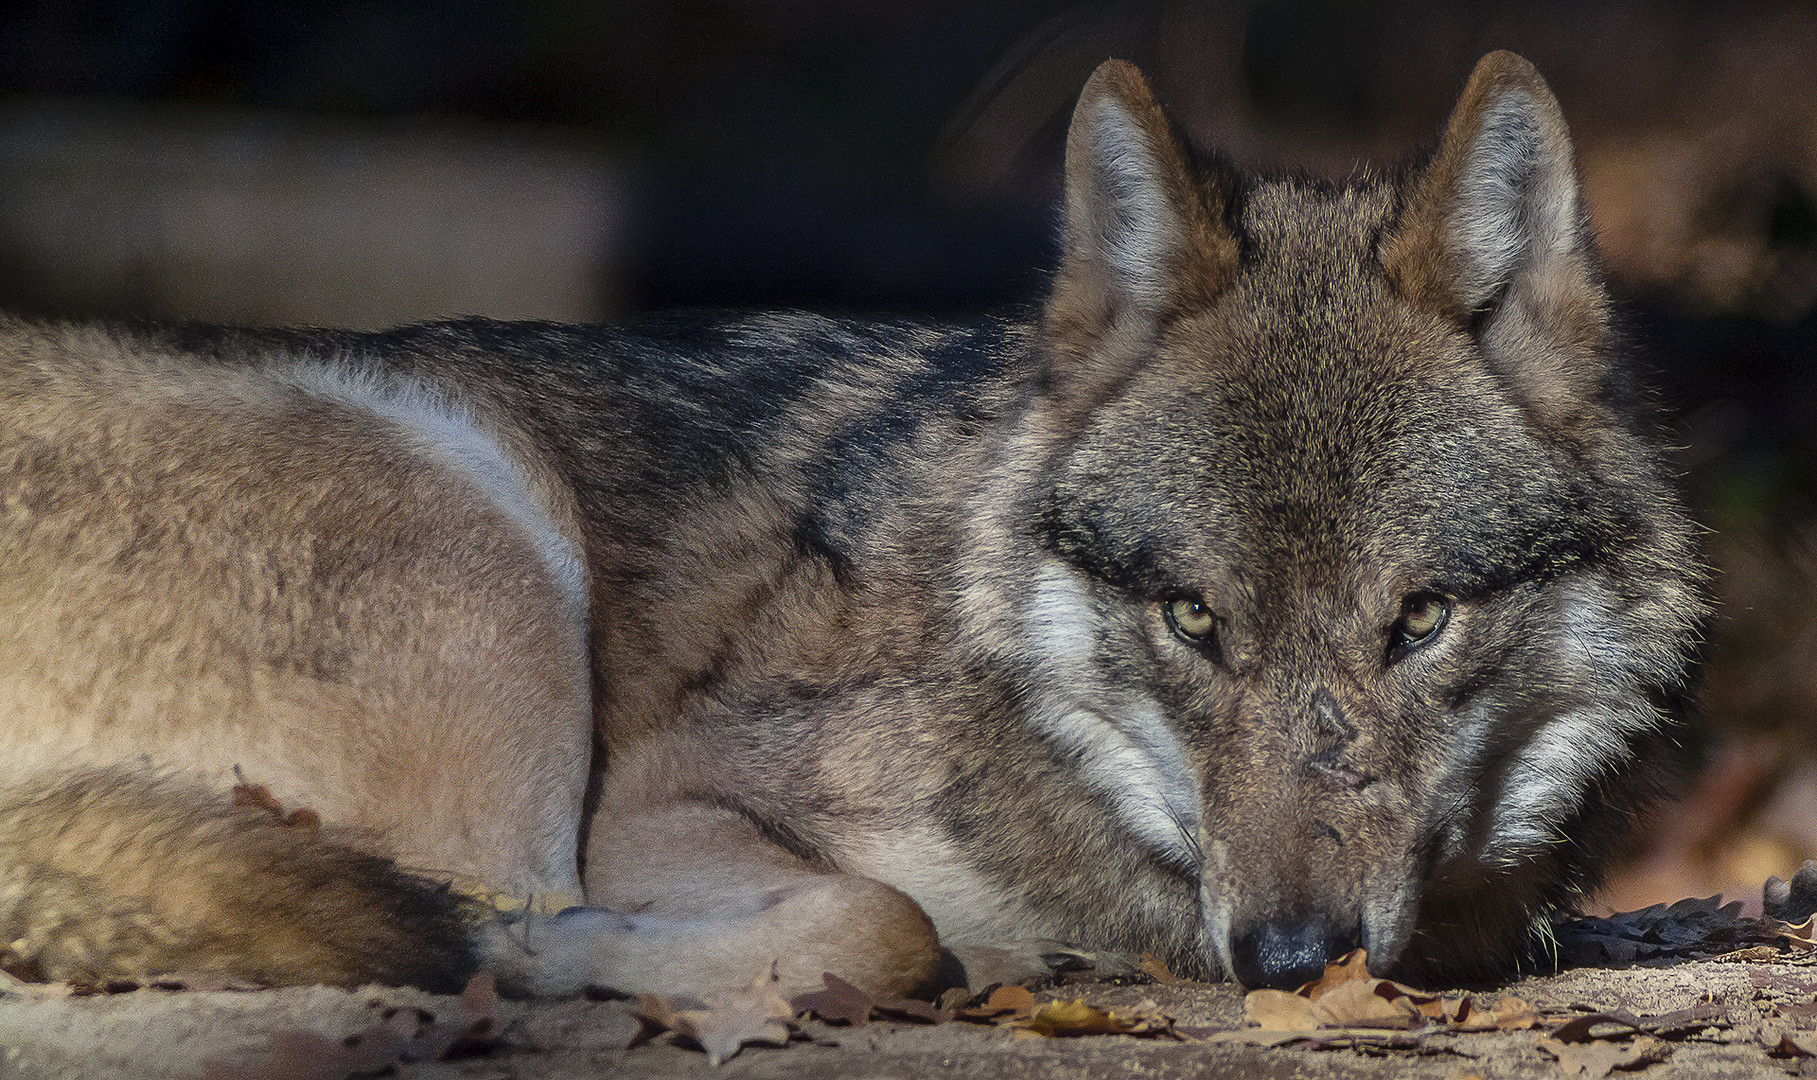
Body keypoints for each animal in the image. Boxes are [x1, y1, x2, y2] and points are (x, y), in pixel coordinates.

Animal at [0, 50, 1700, 989]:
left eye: (1419, 618)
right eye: (1190, 617)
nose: (1291, 961)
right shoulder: (660, 799)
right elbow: (880, 910)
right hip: (483, 558)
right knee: (497, 931)